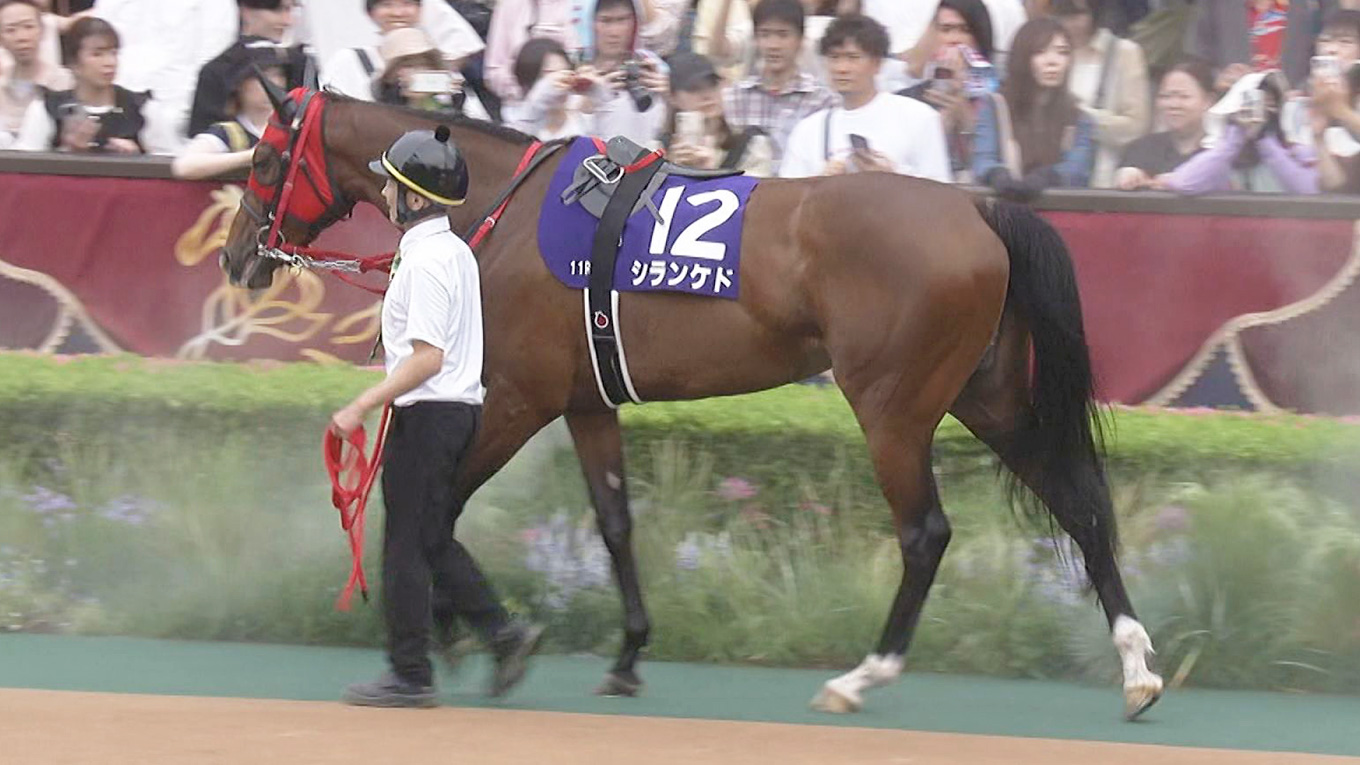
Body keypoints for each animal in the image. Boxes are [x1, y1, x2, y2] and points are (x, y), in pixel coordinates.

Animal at [219, 82, 1163, 719]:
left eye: (262, 159)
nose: (237, 255)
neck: (502, 208)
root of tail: (976, 210)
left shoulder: (519, 396)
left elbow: (438, 507)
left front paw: (472, 635)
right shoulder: (584, 401)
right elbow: (613, 522)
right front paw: (627, 652)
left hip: (893, 407)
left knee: (926, 532)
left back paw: (864, 673)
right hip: (985, 394)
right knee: (1078, 502)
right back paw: (1137, 666)